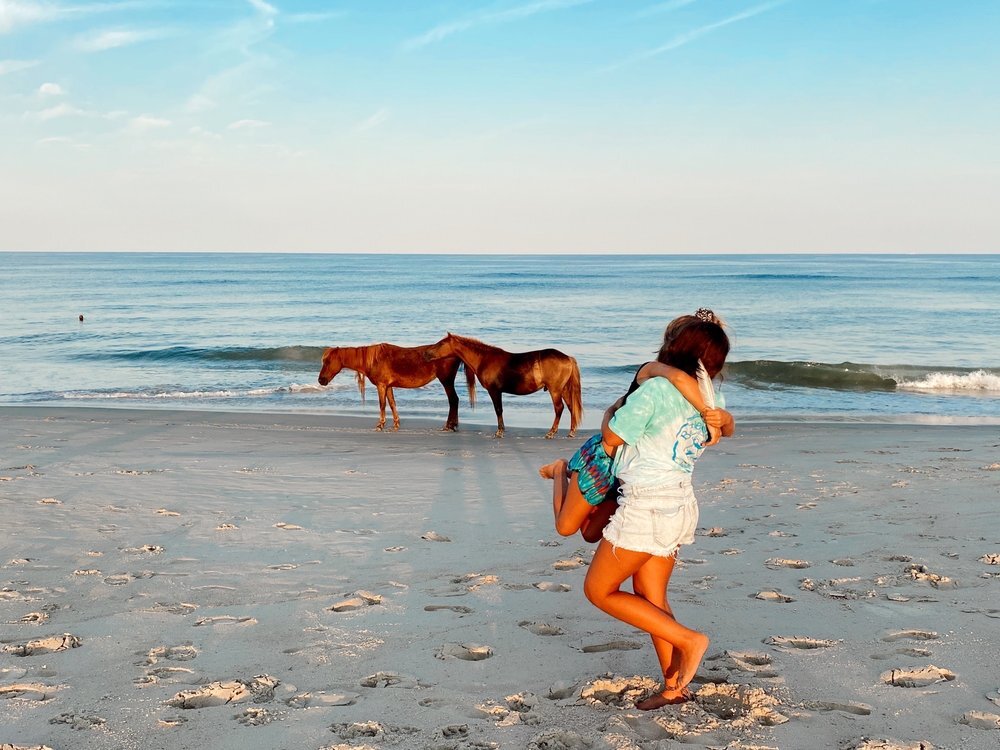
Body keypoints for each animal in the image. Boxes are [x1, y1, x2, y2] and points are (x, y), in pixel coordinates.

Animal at [320, 342, 476, 432]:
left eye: (328, 361)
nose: (321, 380)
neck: (374, 360)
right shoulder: (388, 386)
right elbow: (392, 404)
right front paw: (395, 424)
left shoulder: (382, 386)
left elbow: (382, 405)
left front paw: (380, 425)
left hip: (446, 380)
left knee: (453, 400)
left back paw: (450, 426)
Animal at [424, 334, 584, 440]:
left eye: (441, 344)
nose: (426, 354)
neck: (484, 359)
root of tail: (568, 358)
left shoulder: (494, 391)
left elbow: (498, 410)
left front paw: (499, 432)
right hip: (563, 389)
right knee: (571, 407)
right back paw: (571, 432)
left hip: (555, 390)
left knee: (559, 408)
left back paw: (551, 432)